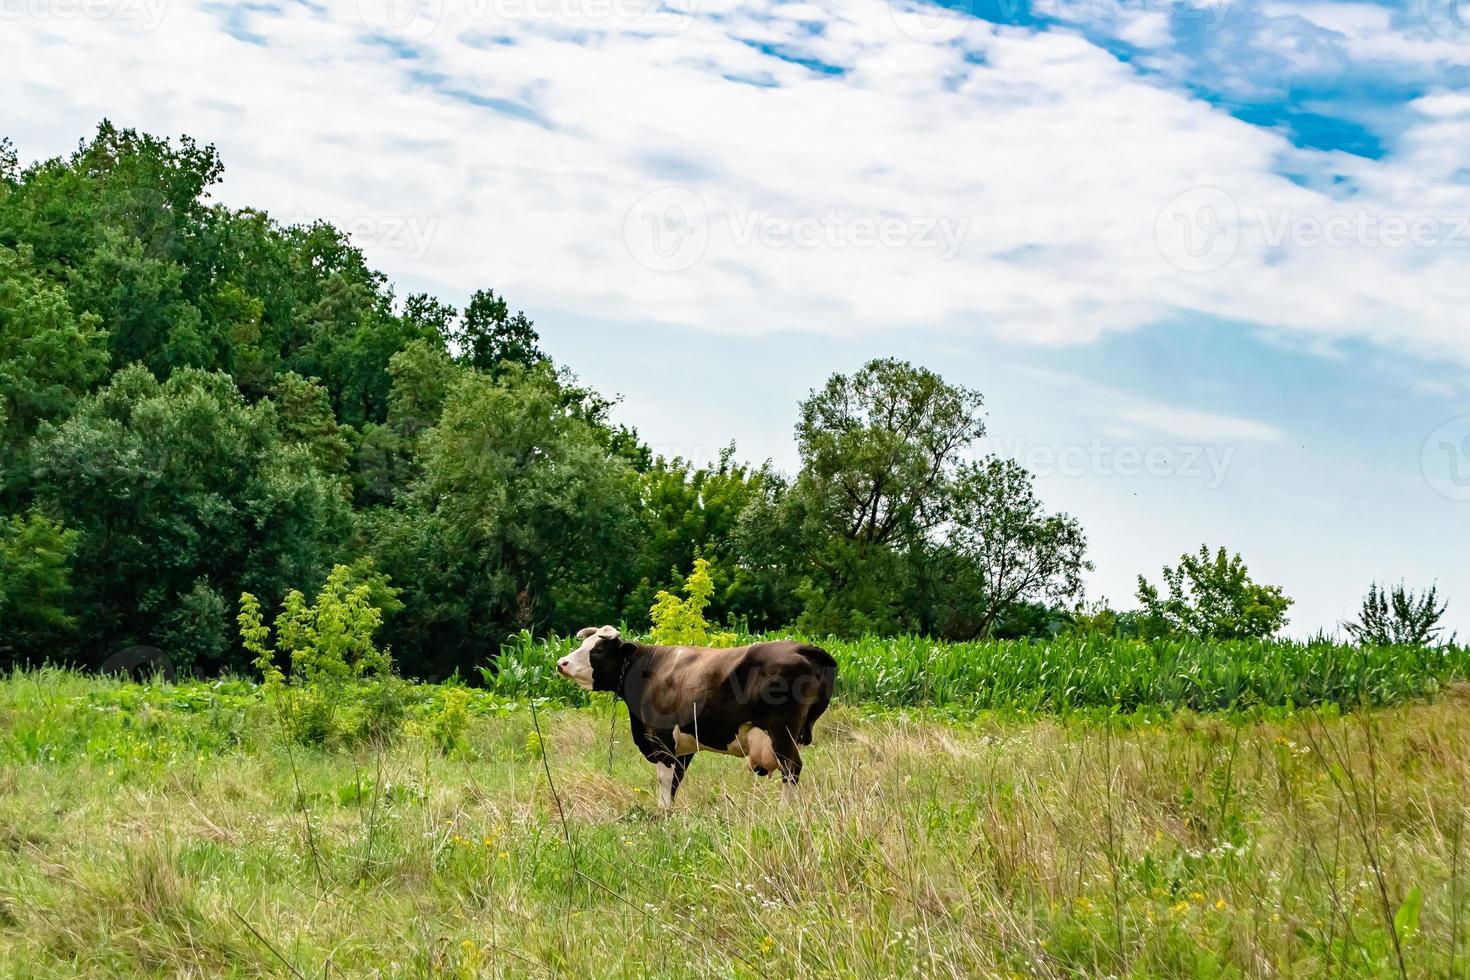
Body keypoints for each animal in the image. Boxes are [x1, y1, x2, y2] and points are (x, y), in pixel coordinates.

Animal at [555, 628, 834, 805]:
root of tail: (802, 647)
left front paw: (662, 815)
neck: (650, 669)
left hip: (781, 733)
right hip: (796, 735)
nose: (561, 663)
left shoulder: (662, 741)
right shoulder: (683, 749)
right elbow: (675, 783)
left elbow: (663, 781)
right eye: (583, 644)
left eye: (598, 649)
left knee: (792, 769)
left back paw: (784, 812)